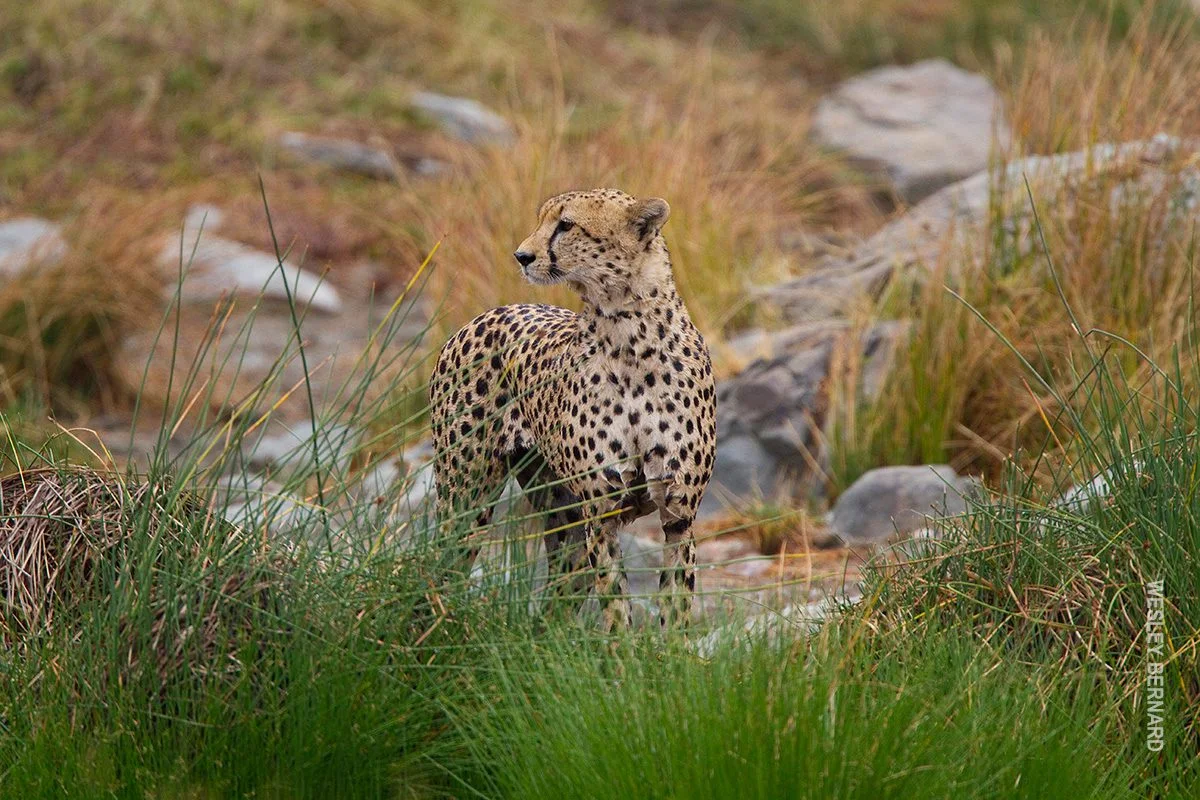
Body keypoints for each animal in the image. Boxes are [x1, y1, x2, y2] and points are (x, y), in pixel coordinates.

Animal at [428, 188, 716, 631]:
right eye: (542, 220)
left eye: (566, 224)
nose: (521, 255)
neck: (630, 338)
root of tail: (486, 314)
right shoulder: (600, 513)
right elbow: (616, 611)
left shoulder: (678, 515)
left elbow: (676, 610)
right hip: (466, 497)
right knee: (438, 566)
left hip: (563, 520)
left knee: (555, 602)